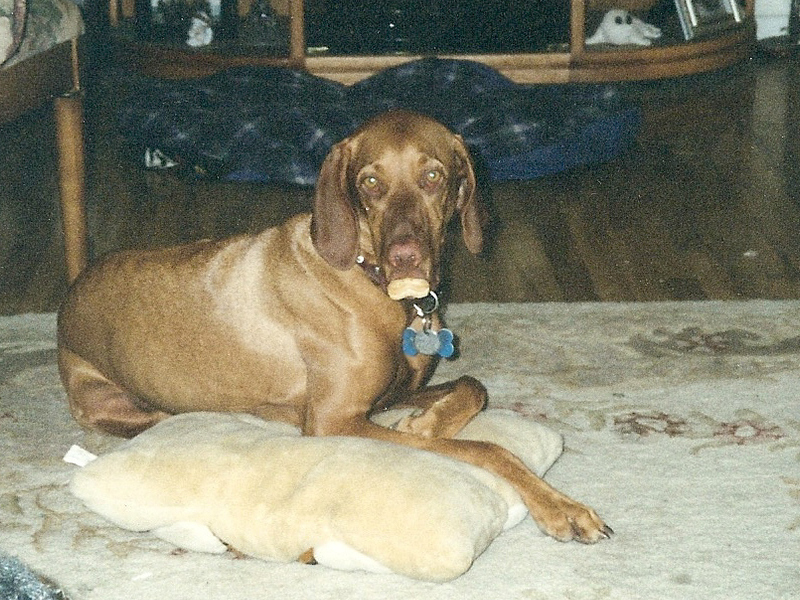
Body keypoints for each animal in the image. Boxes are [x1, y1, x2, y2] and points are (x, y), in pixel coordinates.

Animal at [59, 109, 612, 544]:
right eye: (370, 182)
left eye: (434, 176)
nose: (405, 257)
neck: (376, 284)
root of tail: (69, 300)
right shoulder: (334, 419)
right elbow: (486, 449)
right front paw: (561, 507)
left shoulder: (390, 396)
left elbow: (474, 386)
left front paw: (428, 420)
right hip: (120, 405)